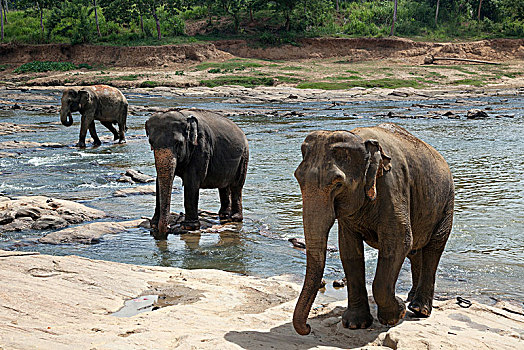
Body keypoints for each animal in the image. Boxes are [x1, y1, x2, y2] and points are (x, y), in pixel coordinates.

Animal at [144, 109, 249, 241]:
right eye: (151, 143)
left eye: (178, 143)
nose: (166, 229)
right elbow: (159, 180)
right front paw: (153, 224)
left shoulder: (201, 147)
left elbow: (191, 181)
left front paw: (188, 227)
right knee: (223, 186)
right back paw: (223, 215)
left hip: (244, 156)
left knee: (236, 186)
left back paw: (234, 218)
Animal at [292, 122, 452, 334]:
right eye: (298, 178)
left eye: (338, 183)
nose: (308, 327)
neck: (362, 140)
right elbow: (349, 250)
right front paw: (355, 324)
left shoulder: (393, 185)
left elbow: (399, 242)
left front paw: (396, 314)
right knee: (416, 252)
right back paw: (411, 299)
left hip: (446, 204)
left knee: (433, 249)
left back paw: (419, 309)